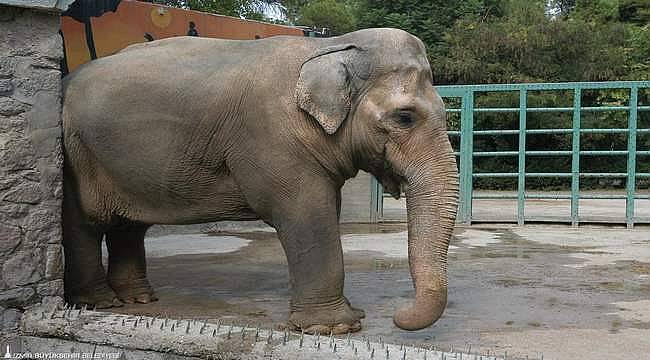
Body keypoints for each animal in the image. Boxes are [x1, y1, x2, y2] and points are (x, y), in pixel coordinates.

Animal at [59, 28, 456, 334]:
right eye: (404, 117)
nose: (397, 315)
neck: (327, 47)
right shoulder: (271, 138)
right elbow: (308, 215)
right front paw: (336, 327)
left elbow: (325, 208)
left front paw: (346, 317)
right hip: (74, 152)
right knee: (83, 223)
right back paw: (100, 303)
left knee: (129, 225)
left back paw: (139, 299)